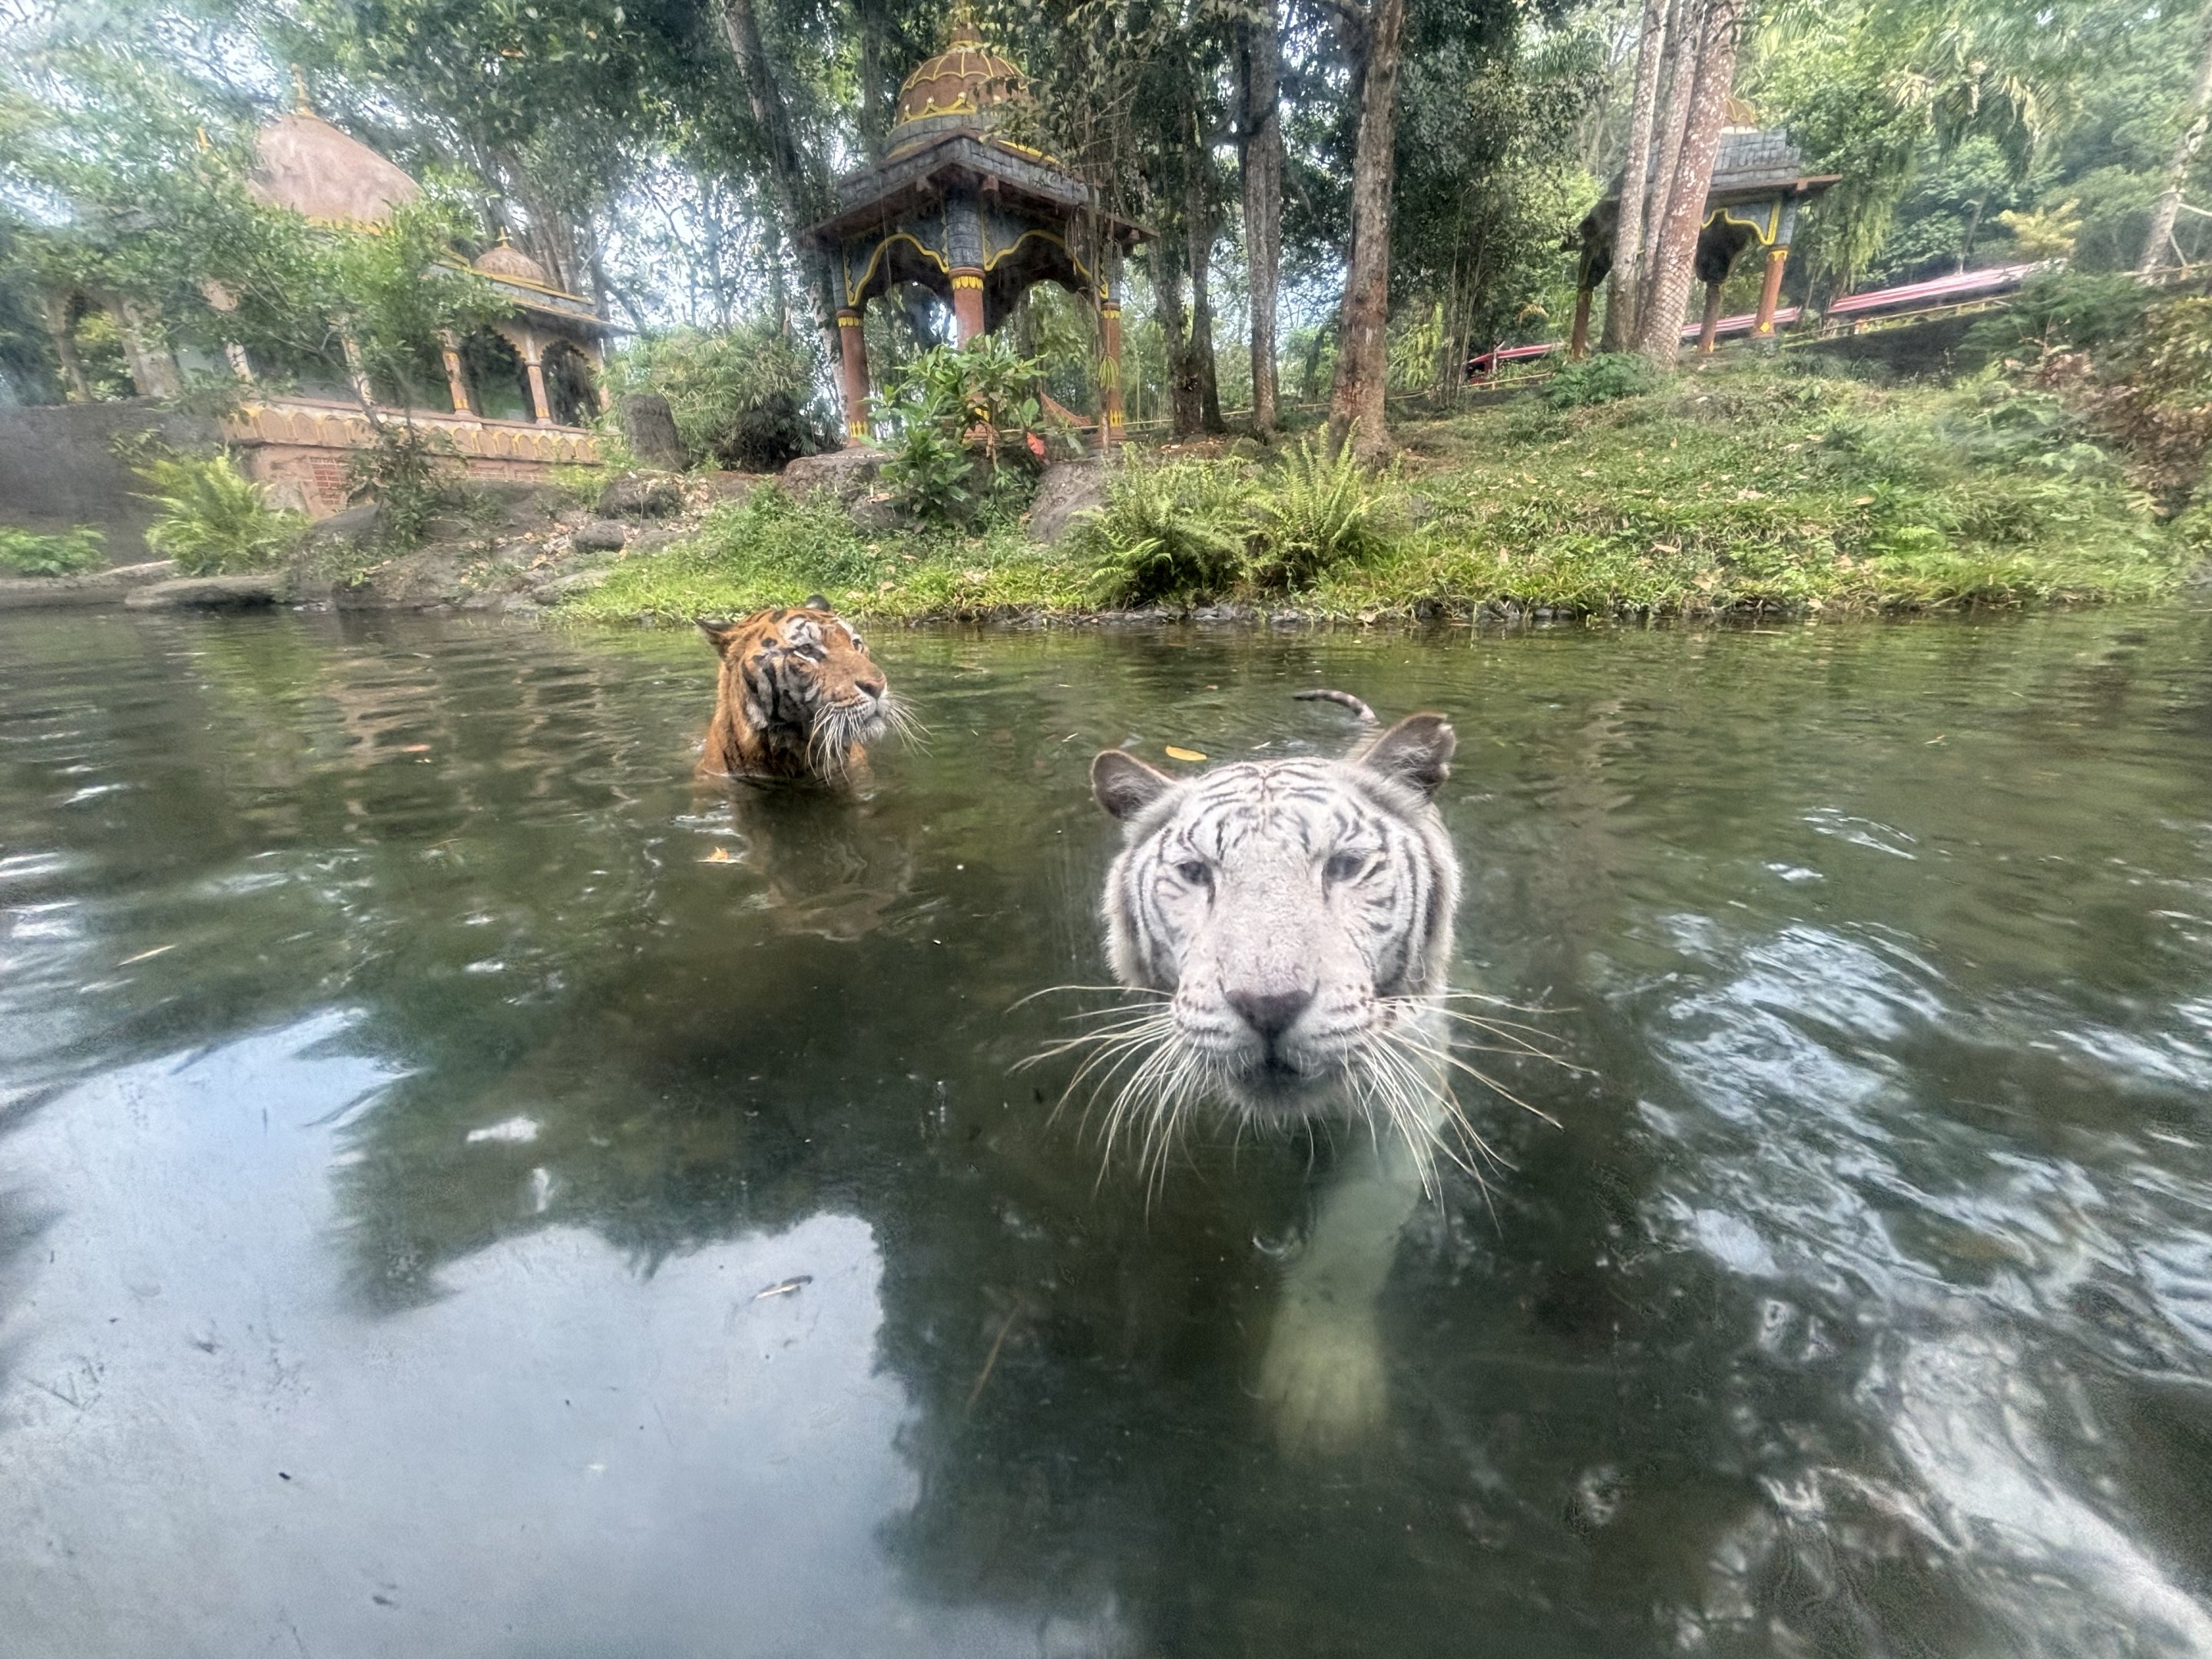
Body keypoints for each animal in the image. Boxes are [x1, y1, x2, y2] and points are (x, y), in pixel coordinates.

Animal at [1075, 694, 1470, 1452]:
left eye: (1344, 867)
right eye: (1196, 873)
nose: (1268, 1004)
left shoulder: (1405, 1101)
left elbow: (1349, 1245)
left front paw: (1323, 1381)